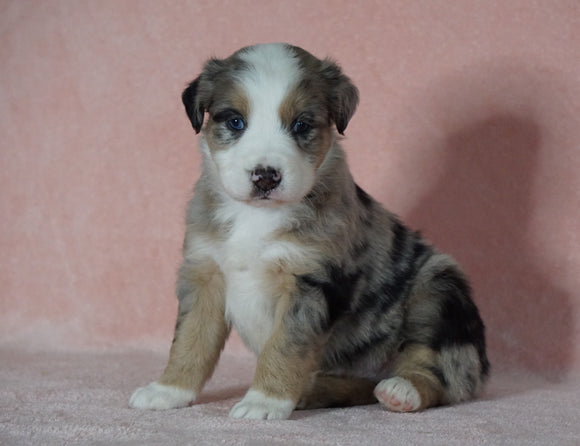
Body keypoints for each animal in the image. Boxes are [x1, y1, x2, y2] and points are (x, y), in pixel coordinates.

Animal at [130, 41, 490, 418]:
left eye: (301, 124)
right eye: (235, 121)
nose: (266, 176)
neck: (256, 216)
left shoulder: (310, 282)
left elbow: (285, 346)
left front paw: (263, 401)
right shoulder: (205, 273)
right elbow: (189, 339)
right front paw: (168, 390)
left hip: (439, 290)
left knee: (444, 373)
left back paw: (402, 390)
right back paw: (313, 390)